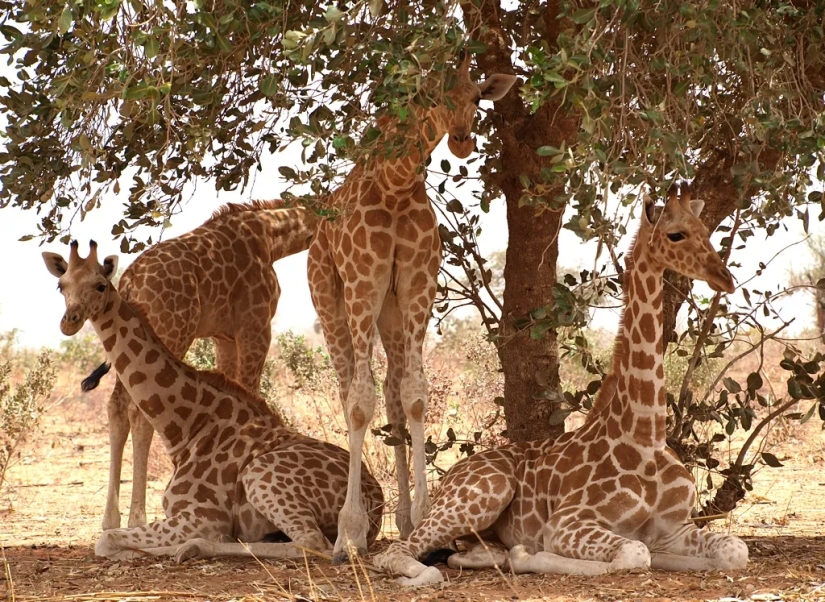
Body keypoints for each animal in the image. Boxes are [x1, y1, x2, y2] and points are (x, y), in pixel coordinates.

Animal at [42, 240, 384, 561]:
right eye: (61, 286)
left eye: (100, 285)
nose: (70, 321)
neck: (184, 430)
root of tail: (376, 502)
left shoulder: (201, 516)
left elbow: (106, 539)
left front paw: (138, 550)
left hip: (260, 476)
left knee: (312, 543)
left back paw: (191, 548)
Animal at [74, 200, 317, 532]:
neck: (271, 235)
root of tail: (129, 282)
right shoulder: (255, 327)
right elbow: (251, 390)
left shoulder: (223, 337)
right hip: (173, 330)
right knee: (139, 410)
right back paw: (138, 516)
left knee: (117, 406)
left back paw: (111, 518)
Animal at [307, 54, 517, 561]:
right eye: (433, 96)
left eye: (477, 97)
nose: (461, 139)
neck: (396, 184)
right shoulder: (362, 283)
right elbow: (359, 402)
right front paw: (350, 532)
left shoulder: (419, 285)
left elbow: (414, 394)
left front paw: (423, 519)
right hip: (330, 297)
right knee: (347, 389)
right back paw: (346, 536)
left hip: (390, 308)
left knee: (390, 391)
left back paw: (401, 520)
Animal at [374, 185, 749, 585]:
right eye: (676, 234)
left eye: (707, 231)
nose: (724, 278)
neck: (645, 436)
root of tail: (452, 475)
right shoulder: (566, 524)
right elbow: (634, 553)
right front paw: (534, 555)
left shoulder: (675, 528)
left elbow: (733, 550)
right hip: (485, 493)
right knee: (396, 551)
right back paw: (428, 573)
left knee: (470, 553)